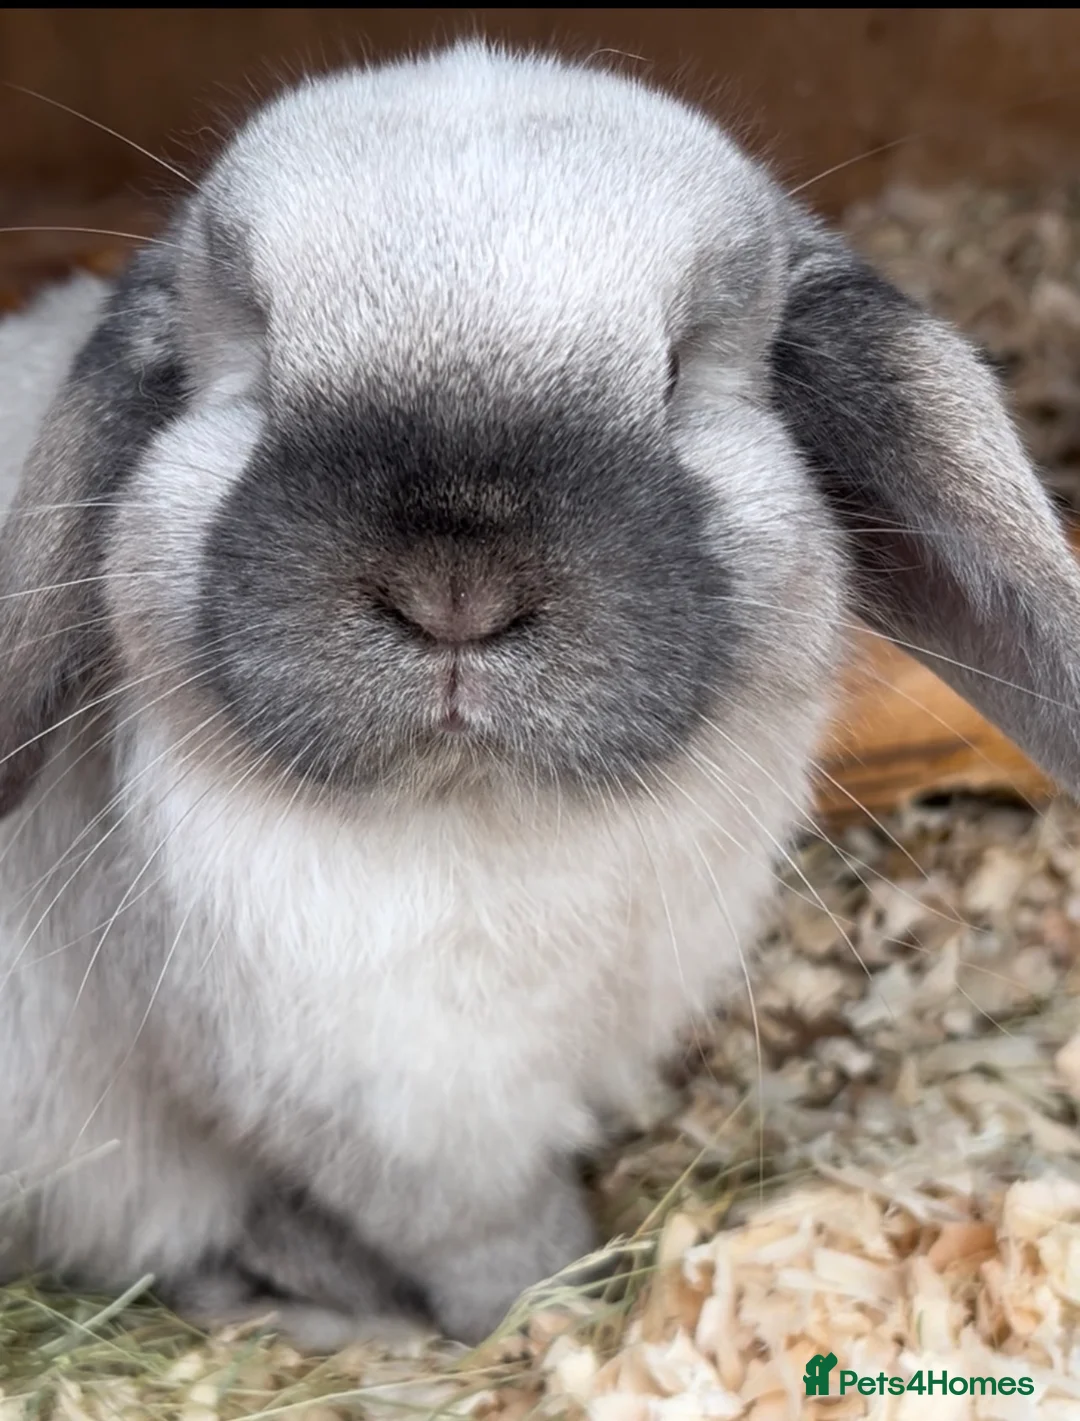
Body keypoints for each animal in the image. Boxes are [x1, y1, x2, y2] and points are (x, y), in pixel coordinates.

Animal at [3, 39, 1080, 1352]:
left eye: (677, 374)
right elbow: (491, 1243)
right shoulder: (398, 1113)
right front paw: (550, 1303)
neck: (487, 820)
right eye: (255, 368)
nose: (454, 589)